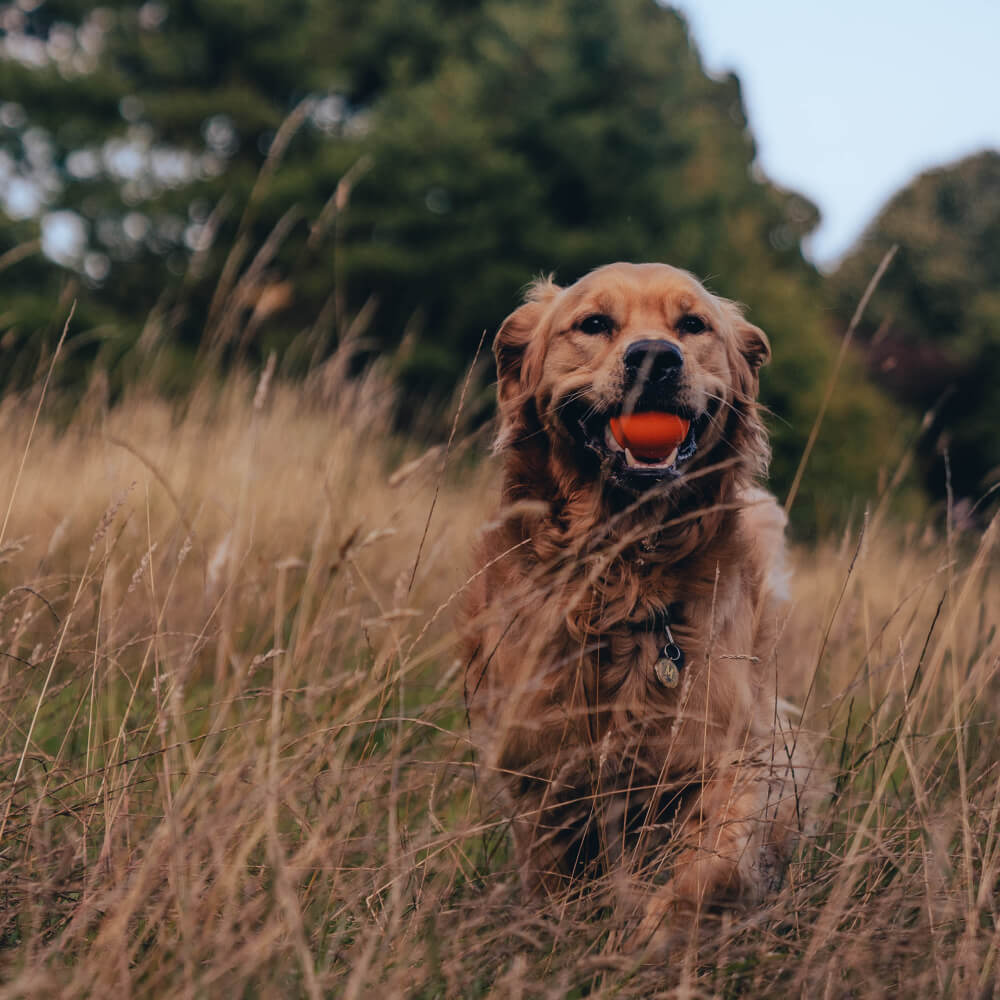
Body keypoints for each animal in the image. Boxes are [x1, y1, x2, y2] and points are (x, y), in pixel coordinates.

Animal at [460, 260, 812, 944]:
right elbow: (555, 874)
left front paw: (664, 927)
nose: (655, 357)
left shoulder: (737, 748)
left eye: (693, 325)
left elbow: (718, 858)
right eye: (594, 323)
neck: (625, 573)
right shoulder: (541, 766)